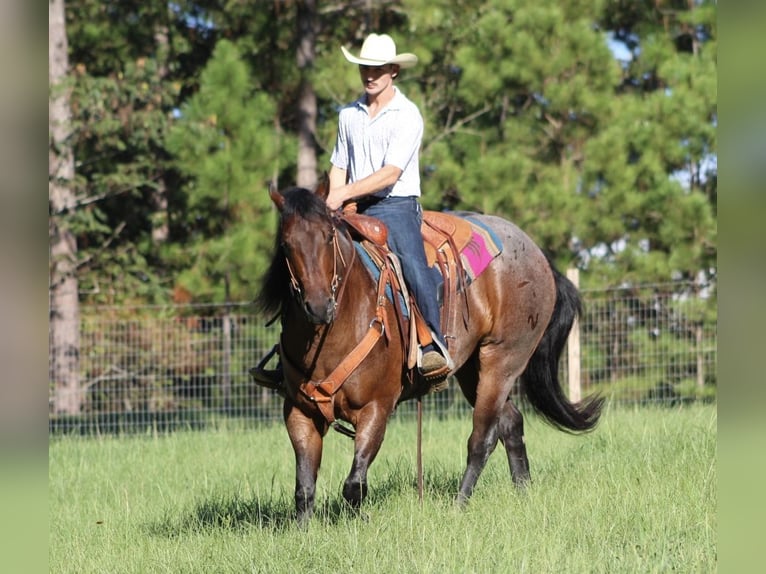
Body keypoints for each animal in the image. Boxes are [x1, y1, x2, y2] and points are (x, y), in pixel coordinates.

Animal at [258, 180, 608, 528]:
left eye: (329, 236)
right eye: (286, 244)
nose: (319, 306)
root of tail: (537, 254)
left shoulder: (376, 408)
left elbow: (353, 485)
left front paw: (360, 520)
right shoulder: (299, 411)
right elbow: (304, 487)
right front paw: (305, 532)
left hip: (503, 361)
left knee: (482, 437)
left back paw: (459, 505)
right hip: (472, 371)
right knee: (511, 423)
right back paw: (523, 492)